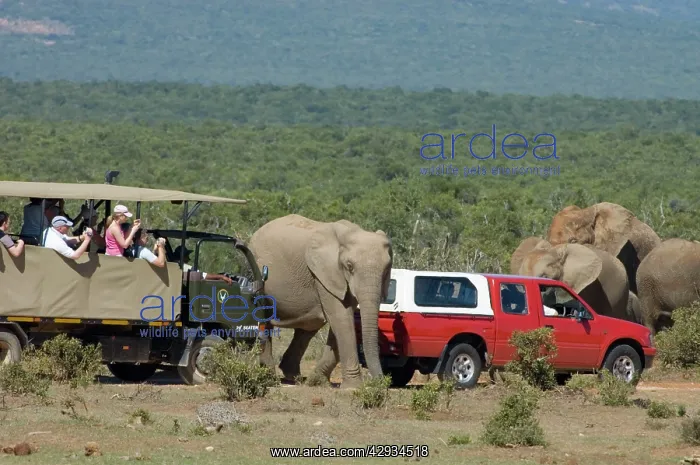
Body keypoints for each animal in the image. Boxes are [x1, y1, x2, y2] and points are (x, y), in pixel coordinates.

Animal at [249, 214, 393, 389]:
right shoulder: (324, 273)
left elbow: (342, 319)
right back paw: (270, 378)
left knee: (307, 328)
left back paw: (294, 377)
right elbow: (341, 318)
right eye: (350, 266)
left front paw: (316, 381)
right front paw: (353, 387)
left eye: (387, 269)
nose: (381, 381)